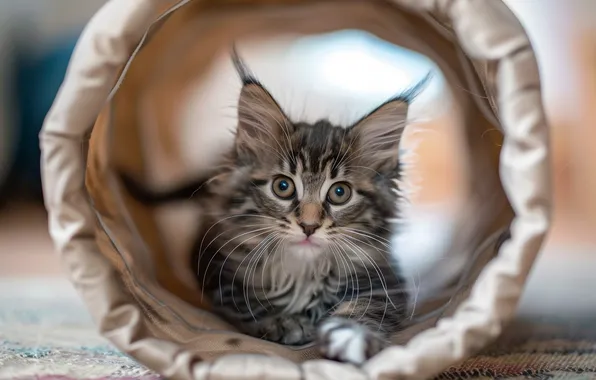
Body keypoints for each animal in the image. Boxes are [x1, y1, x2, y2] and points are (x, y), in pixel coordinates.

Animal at [117, 51, 424, 366]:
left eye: (340, 193)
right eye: (283, 186)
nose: (309, 226)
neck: (303, 270)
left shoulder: (388, 283)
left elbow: (368, 306)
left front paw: (351, 334)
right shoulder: (218, 274)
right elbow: (247, 302)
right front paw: (284, 321)